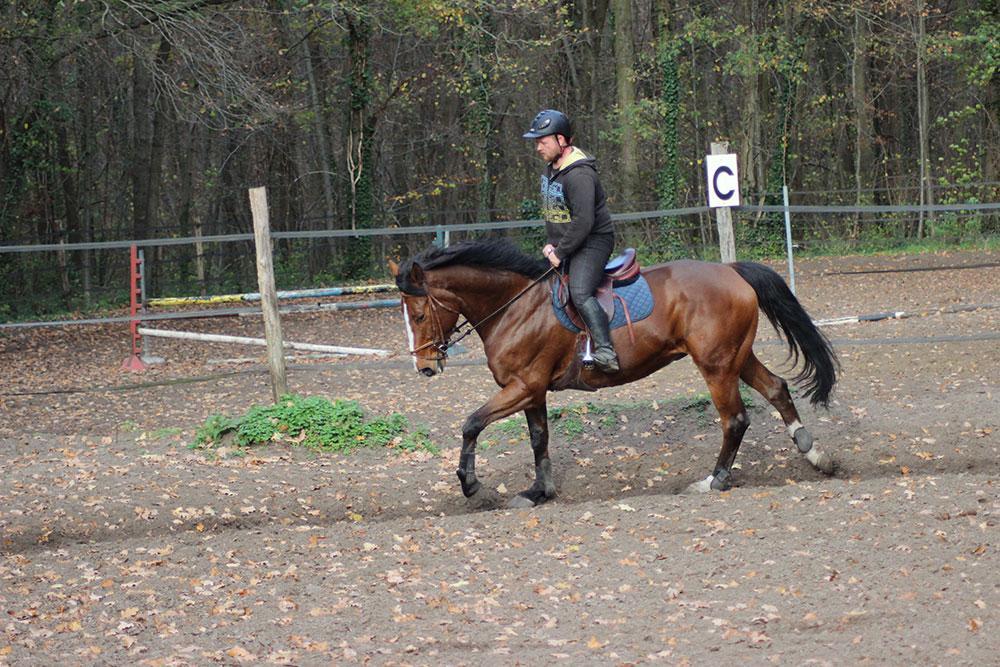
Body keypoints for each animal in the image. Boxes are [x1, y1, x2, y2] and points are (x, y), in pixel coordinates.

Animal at [386, 240, 840, 506]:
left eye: (420, 314)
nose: (424, 367)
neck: (515, 306)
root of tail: (729, 270)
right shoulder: (532, 391)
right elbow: (538, 439)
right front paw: (539, 492)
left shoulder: (523, 386)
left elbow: (471, 423)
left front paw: (470, 484)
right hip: (735, 358)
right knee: (776, 388)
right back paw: (815, 454)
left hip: (715, 365)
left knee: (735, 419)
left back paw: (714, 482)